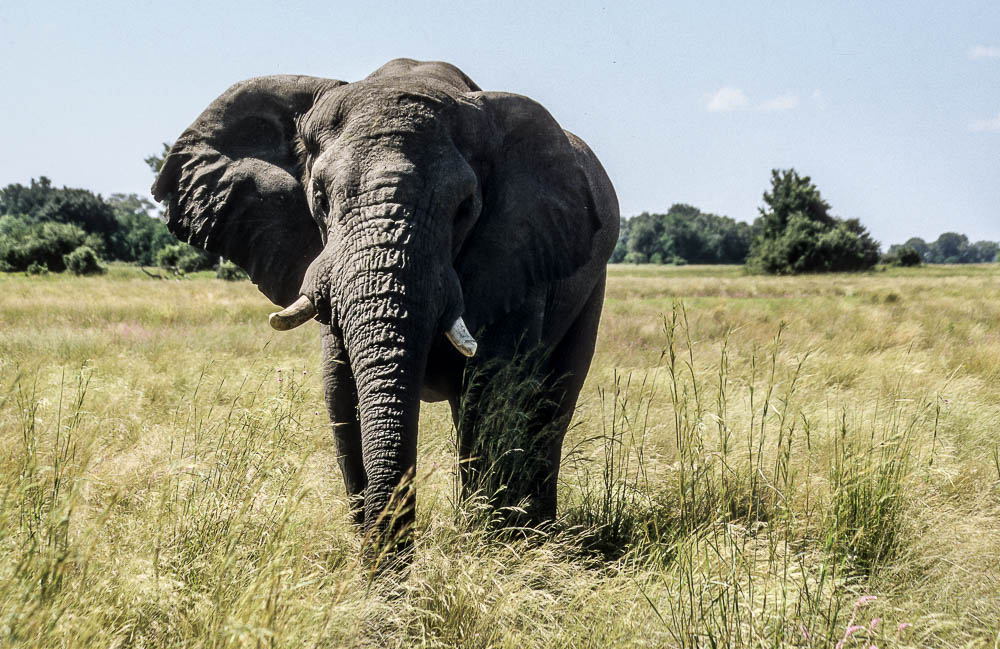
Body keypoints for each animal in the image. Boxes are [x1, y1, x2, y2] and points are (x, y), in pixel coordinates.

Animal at [150, 59, 616, 548]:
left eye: (465, 209)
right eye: (320, 199)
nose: (391, 560)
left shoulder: (518, 258)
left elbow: (493, 388)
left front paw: (487, 540)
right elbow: (341, 393)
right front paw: (373, 551)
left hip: (592, 286)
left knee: (551, 404)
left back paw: (539, 530)